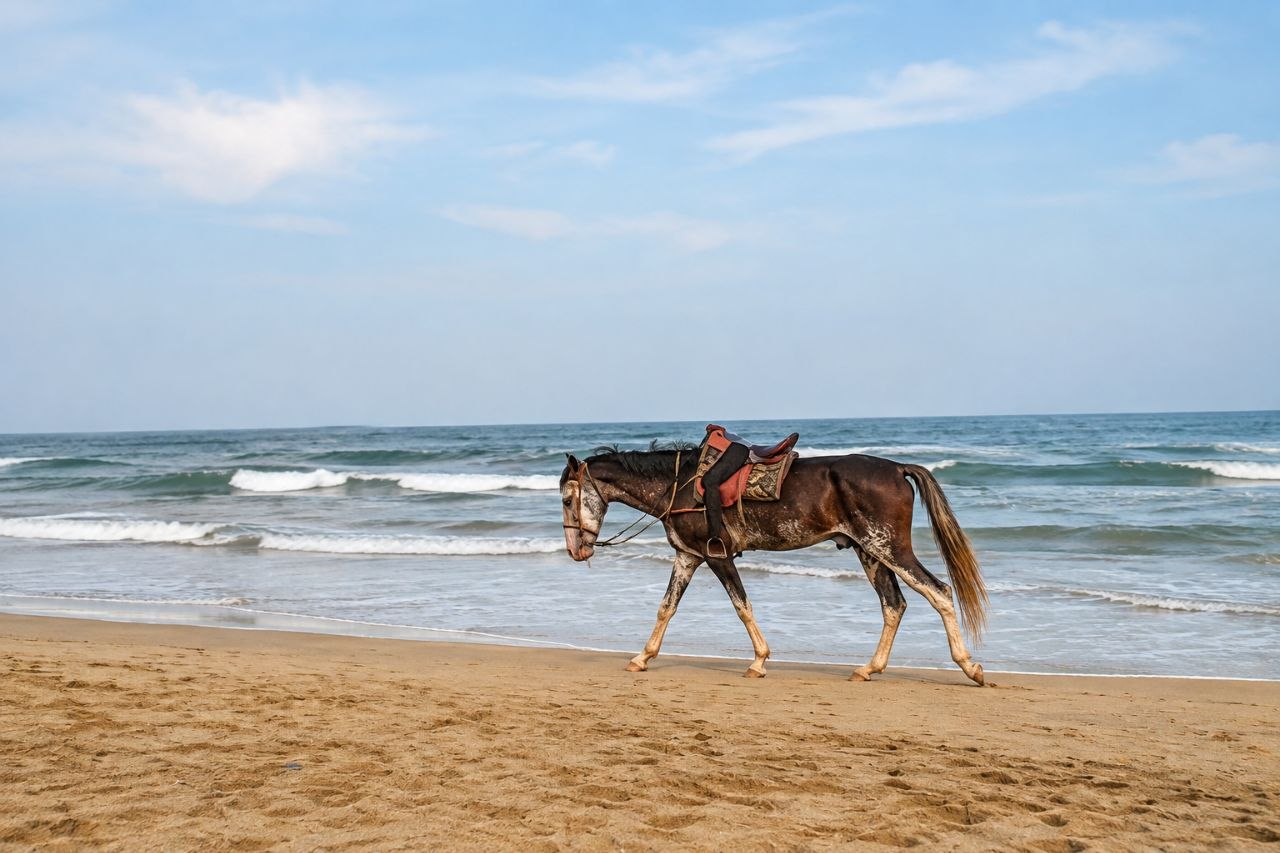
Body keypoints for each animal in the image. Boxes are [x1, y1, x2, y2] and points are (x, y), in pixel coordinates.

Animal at [560, 443, 989, 685]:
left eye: (566, 499)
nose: (577, 552)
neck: (679, 485)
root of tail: (897, 468)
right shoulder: (688, 556)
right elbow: (666, 608)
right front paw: (642, 657)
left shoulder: (716, 555)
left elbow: (741, 606)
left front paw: (759, 661)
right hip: (869, 551)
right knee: (894, 605)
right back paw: (868, 668)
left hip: (889, 548)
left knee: (938, 591)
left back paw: (969, 666)